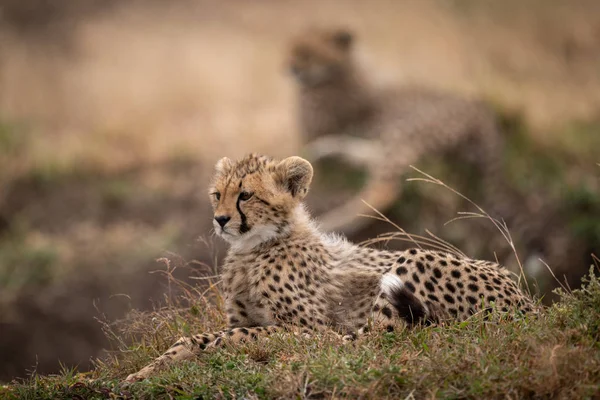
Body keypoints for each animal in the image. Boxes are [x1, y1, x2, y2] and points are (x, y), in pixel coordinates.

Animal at [125, 154, 536, 382]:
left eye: (246, 195)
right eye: (217, 194)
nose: (220, 219)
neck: (254, 247)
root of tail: (524, 302)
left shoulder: (316, 327)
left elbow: (257, 334)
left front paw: (228, 345)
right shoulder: (239, 317)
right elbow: (190, 339)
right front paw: (141, 374)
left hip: (414, 259)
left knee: (369, 342)